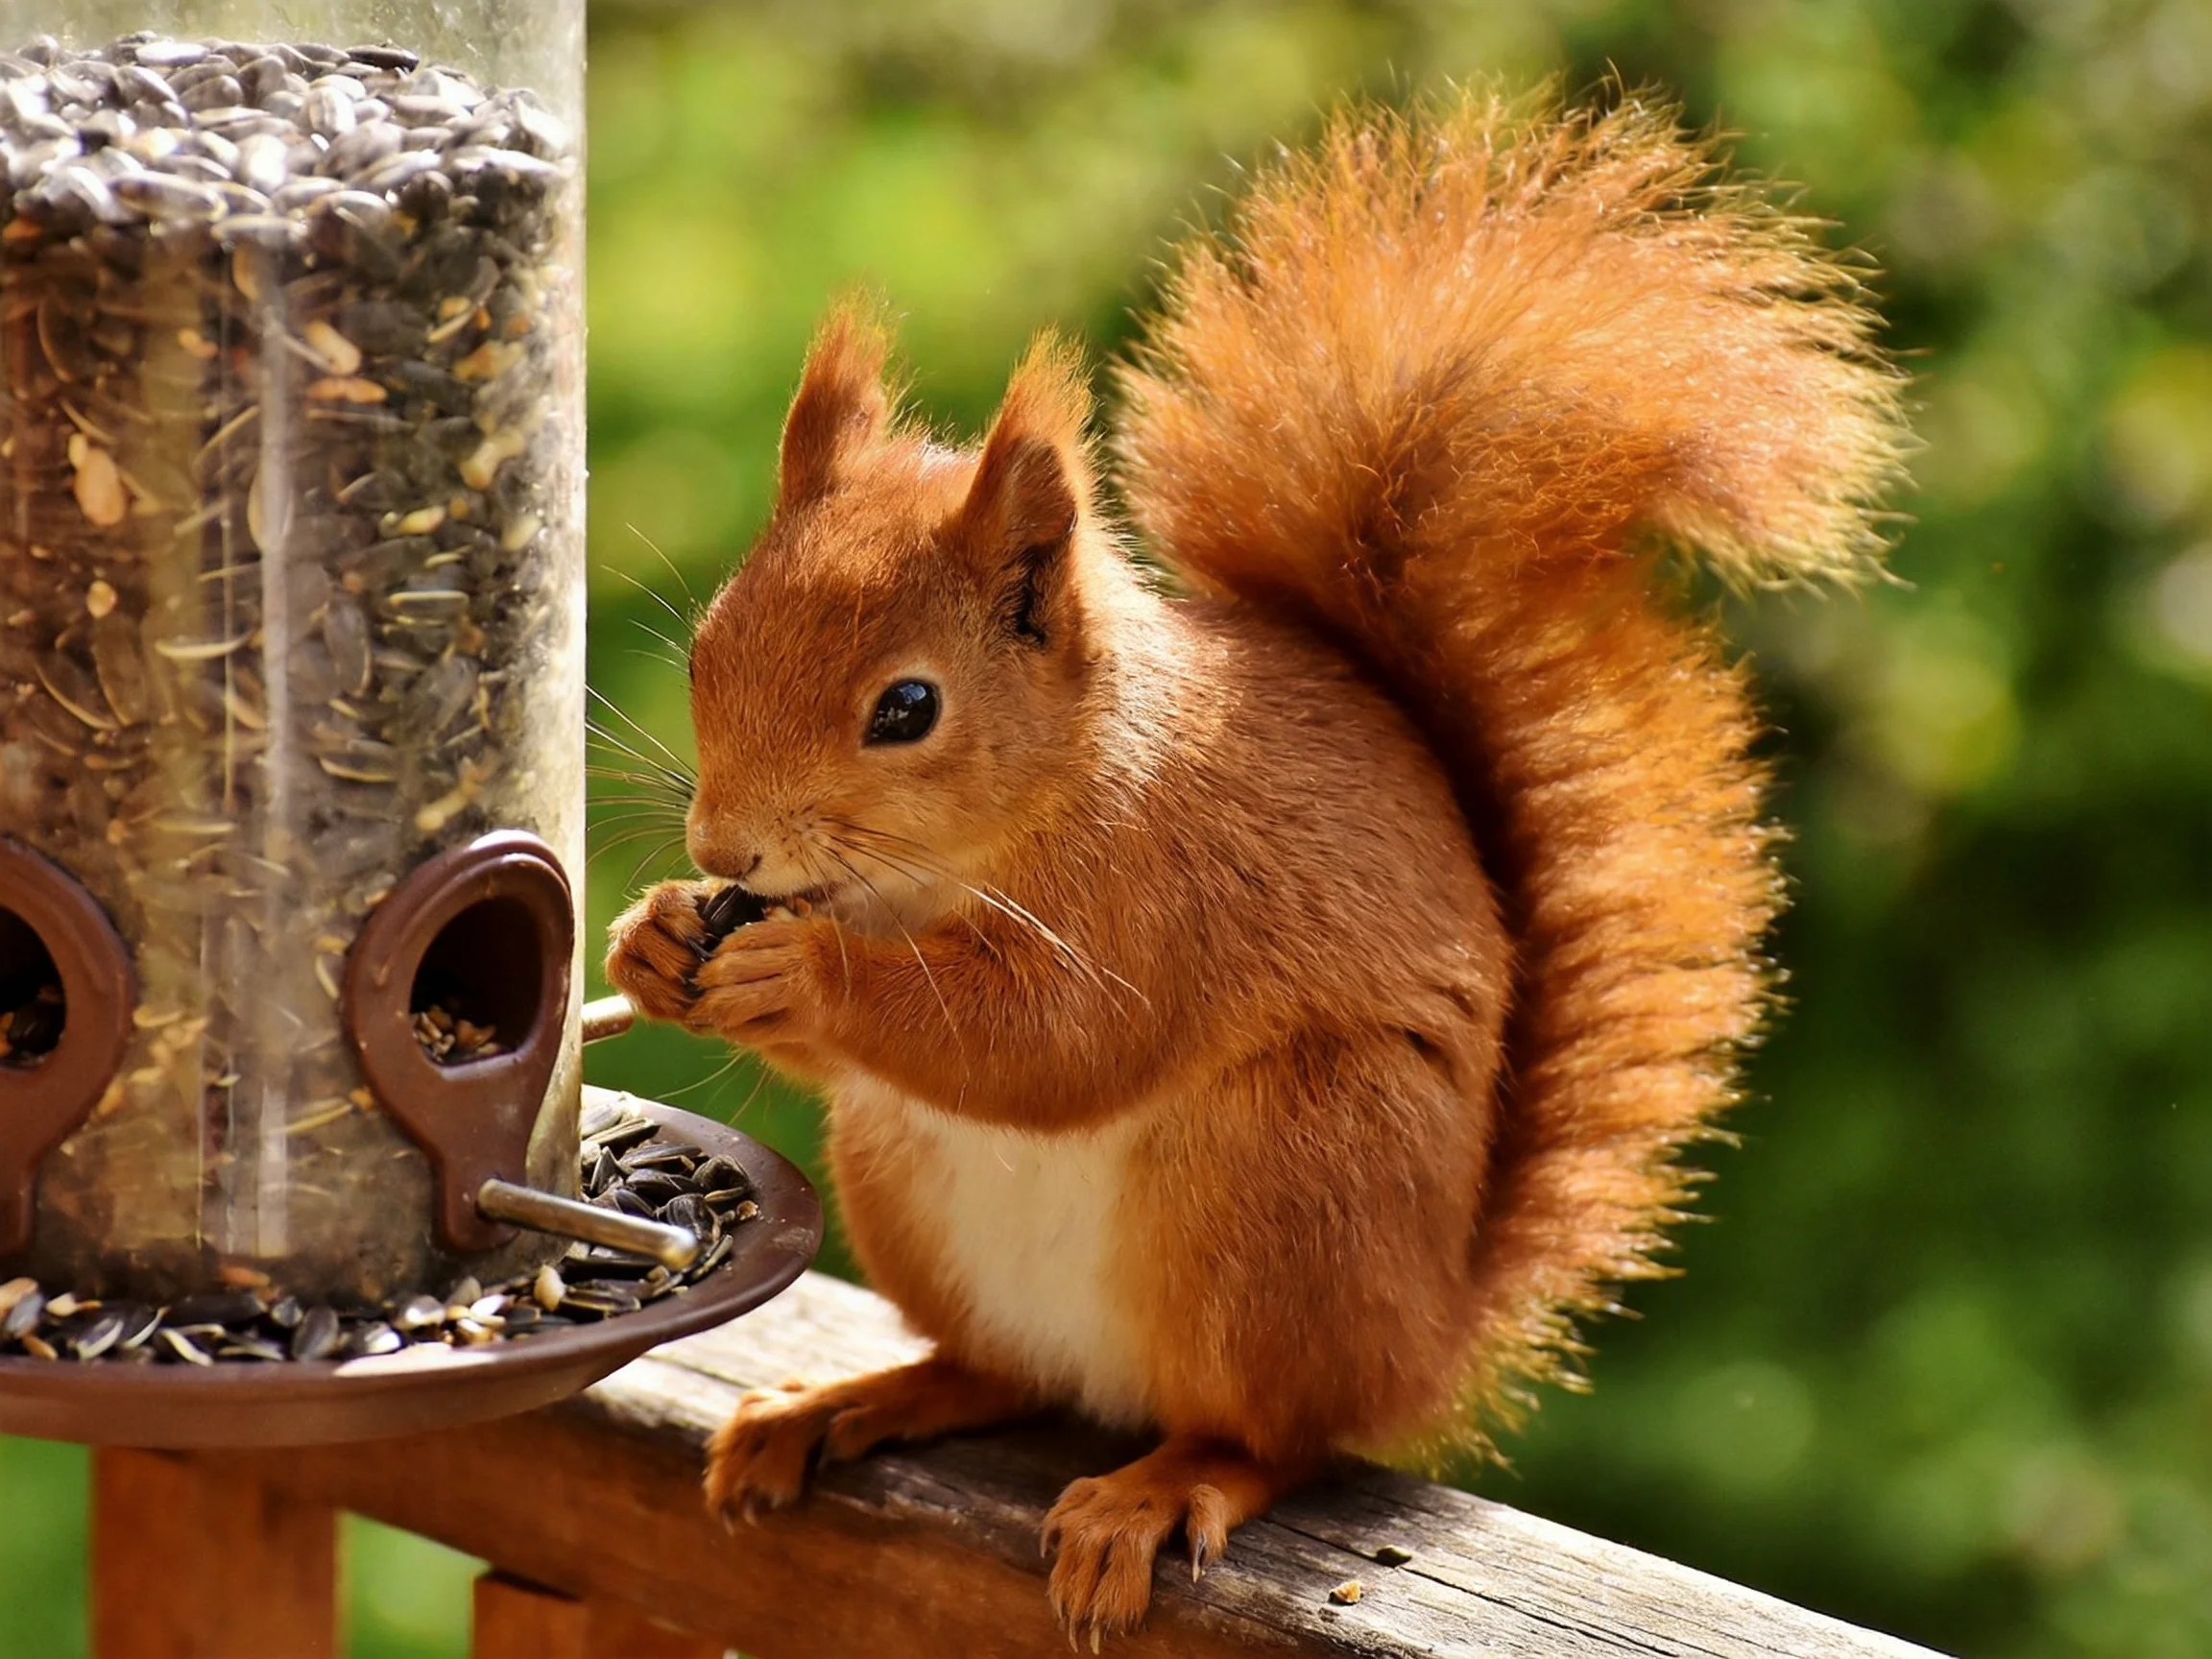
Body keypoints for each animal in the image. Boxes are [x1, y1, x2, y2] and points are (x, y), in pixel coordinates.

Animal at [605, 89, 1906, 1643]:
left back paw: (1164, 1489)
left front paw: (801, 973)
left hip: (1289, 1188)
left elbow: (1053, 1043)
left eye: (906, 709)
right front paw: (649, 941)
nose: (721, 848)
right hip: (912, 1185)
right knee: (1006, 1374)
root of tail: (1424, 1335)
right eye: (708, 649)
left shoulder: (1170, 892)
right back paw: (857, 1400)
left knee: (1277, 1437)